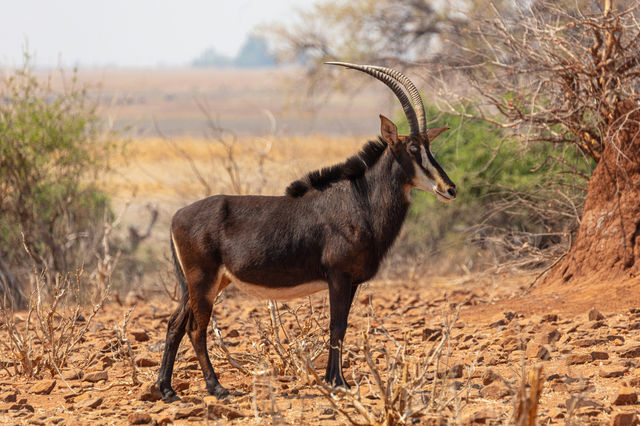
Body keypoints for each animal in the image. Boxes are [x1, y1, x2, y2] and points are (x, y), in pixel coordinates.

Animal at [157, 62, 457, 401]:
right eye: (413, 148)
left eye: (430, 146)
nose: (450, 188)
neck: (359, 200)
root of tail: (177, 216)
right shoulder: (338, 276)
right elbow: (336, 326)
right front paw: (337, 382)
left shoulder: (352, 282)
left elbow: (341, 325)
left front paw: (336, 379)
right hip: (203, 281)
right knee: (196, 329)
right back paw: (216, 387)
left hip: (202, 284)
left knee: (174, 324)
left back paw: (167, 389)